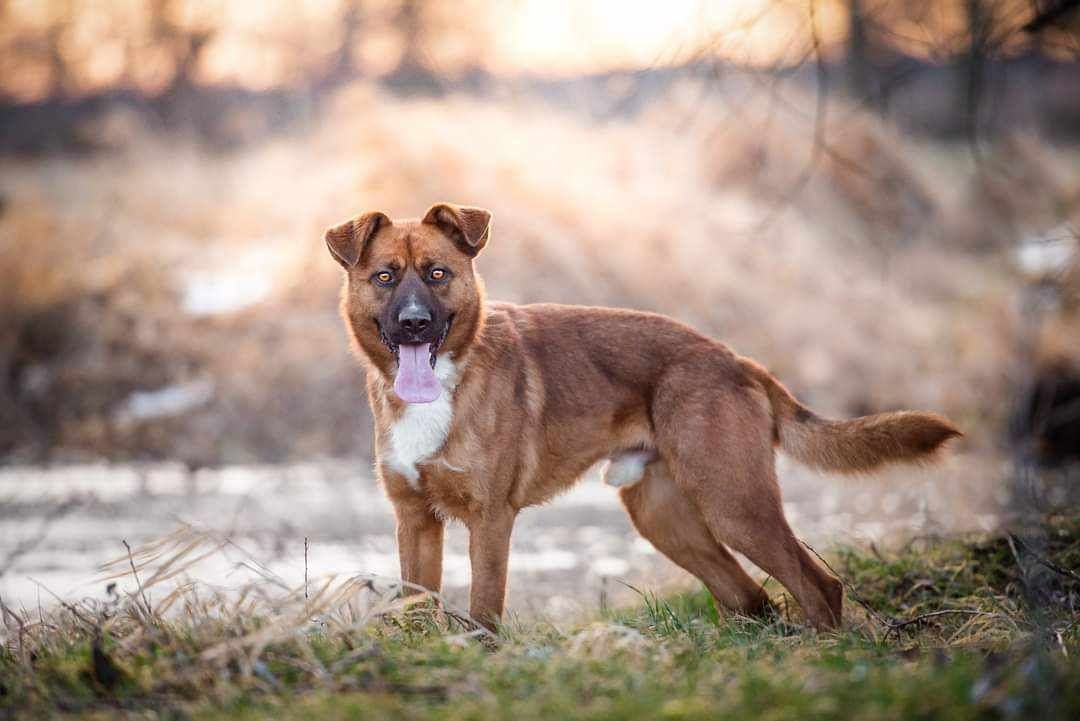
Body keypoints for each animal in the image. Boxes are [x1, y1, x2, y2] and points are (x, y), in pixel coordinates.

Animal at [324, 202, 959, 630]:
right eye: (385, 276)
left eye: (437, 273)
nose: (414, 324)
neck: (442, 387)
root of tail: (734, 358)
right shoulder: (415, 521)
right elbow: (415, 605)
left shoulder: (490, 520)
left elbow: (484, 611)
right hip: (664, 518)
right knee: (750, 599)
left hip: (733, 504)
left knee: (817, 585)